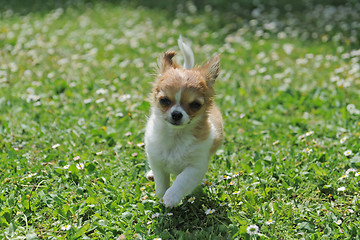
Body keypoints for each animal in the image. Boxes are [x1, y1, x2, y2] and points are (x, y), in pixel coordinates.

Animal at [143, 36, 222, 208]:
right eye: (164, 101)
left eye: (195, 105)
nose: (177, 114)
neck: (176, 136)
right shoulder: (156, 159)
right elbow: (161, 183)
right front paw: (163, 194)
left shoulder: (196, 167)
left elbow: (182, 180)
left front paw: (171, 197)